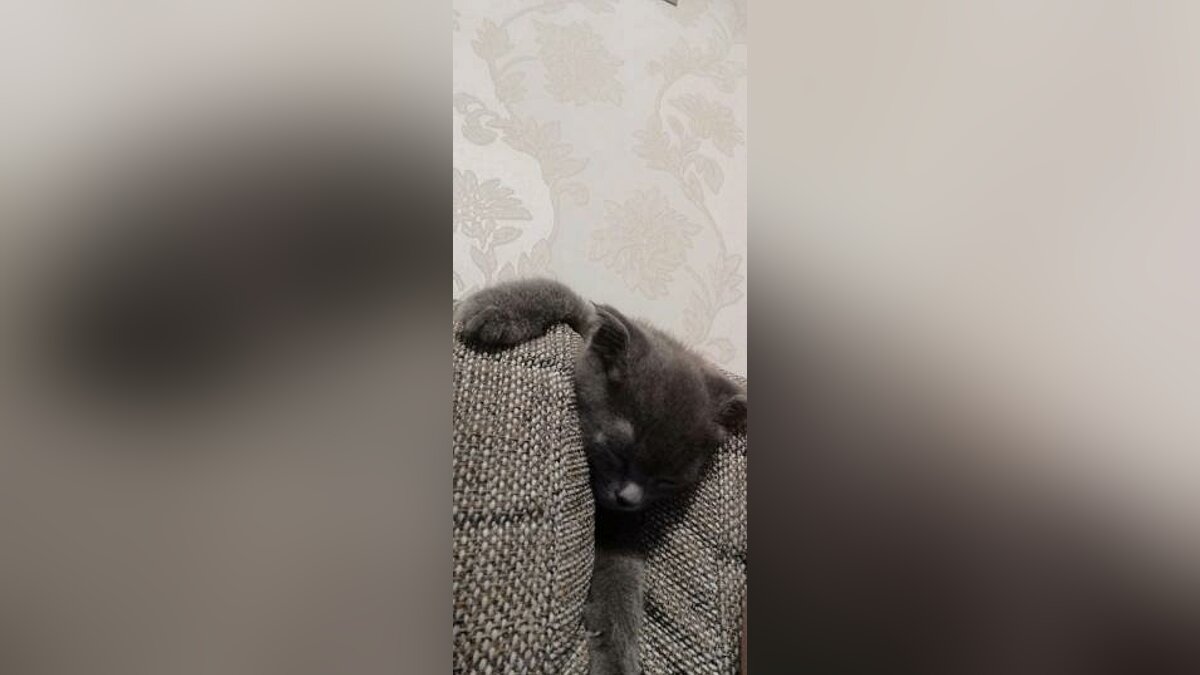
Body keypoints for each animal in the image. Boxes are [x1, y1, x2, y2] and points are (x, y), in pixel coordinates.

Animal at [454, 277, 746, 675]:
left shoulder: (621, 523)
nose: (628, 498)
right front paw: (491, 308)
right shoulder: (585, 321)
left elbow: (621, 573)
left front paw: (615, 654)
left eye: (666, 481)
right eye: (618, 451)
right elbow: (560, 291)